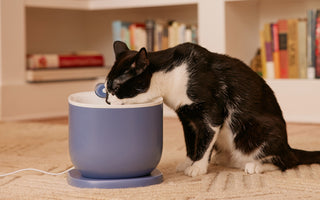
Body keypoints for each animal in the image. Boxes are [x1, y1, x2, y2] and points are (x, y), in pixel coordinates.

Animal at [105, 40, 320, 177]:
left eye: (115, 88)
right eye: (106, 88)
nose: (107, 101)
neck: (171, 76)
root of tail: (288, 145)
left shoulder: (211, 111)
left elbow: (205, 139)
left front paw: (197, 167)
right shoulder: (187, 117)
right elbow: (191, 141)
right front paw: (189, 161)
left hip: (261, 131)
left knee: (287, 161)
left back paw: (256, 166)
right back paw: (223, 158)